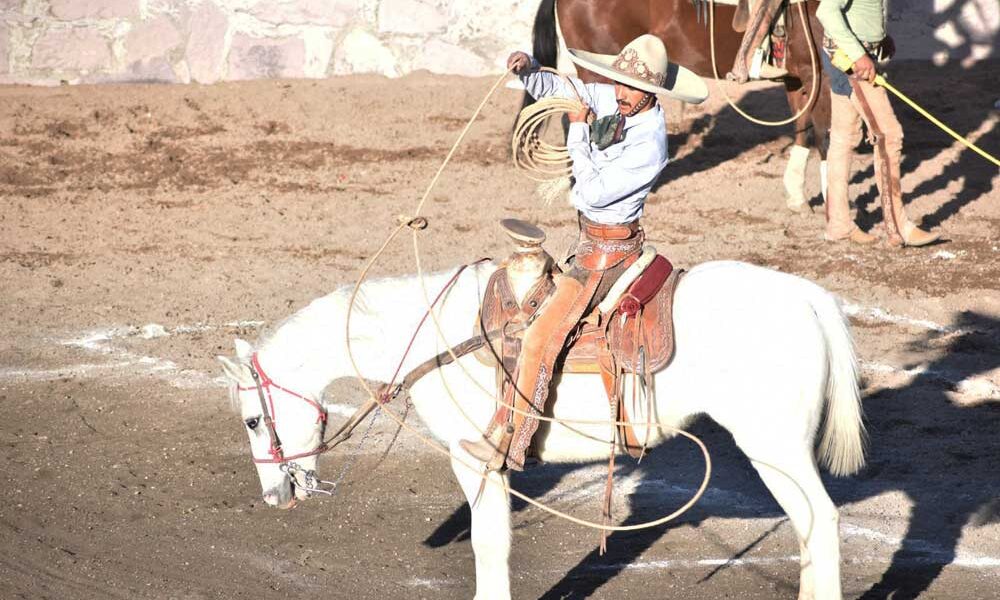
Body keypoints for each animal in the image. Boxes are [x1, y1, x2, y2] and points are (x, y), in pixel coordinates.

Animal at [221, 258, 868, 600]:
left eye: (252, 419)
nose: (274, 495)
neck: (432, 337)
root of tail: (809, 297)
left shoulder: (474, 460)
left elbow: (489, 543)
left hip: (775, 448)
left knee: (821, 520)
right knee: (809, 526)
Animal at [528, 0, 832, 207]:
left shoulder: (799, 77)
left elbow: (803, 129)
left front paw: (796, 195)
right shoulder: (821, 73)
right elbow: (825, 135)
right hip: (599, 68)